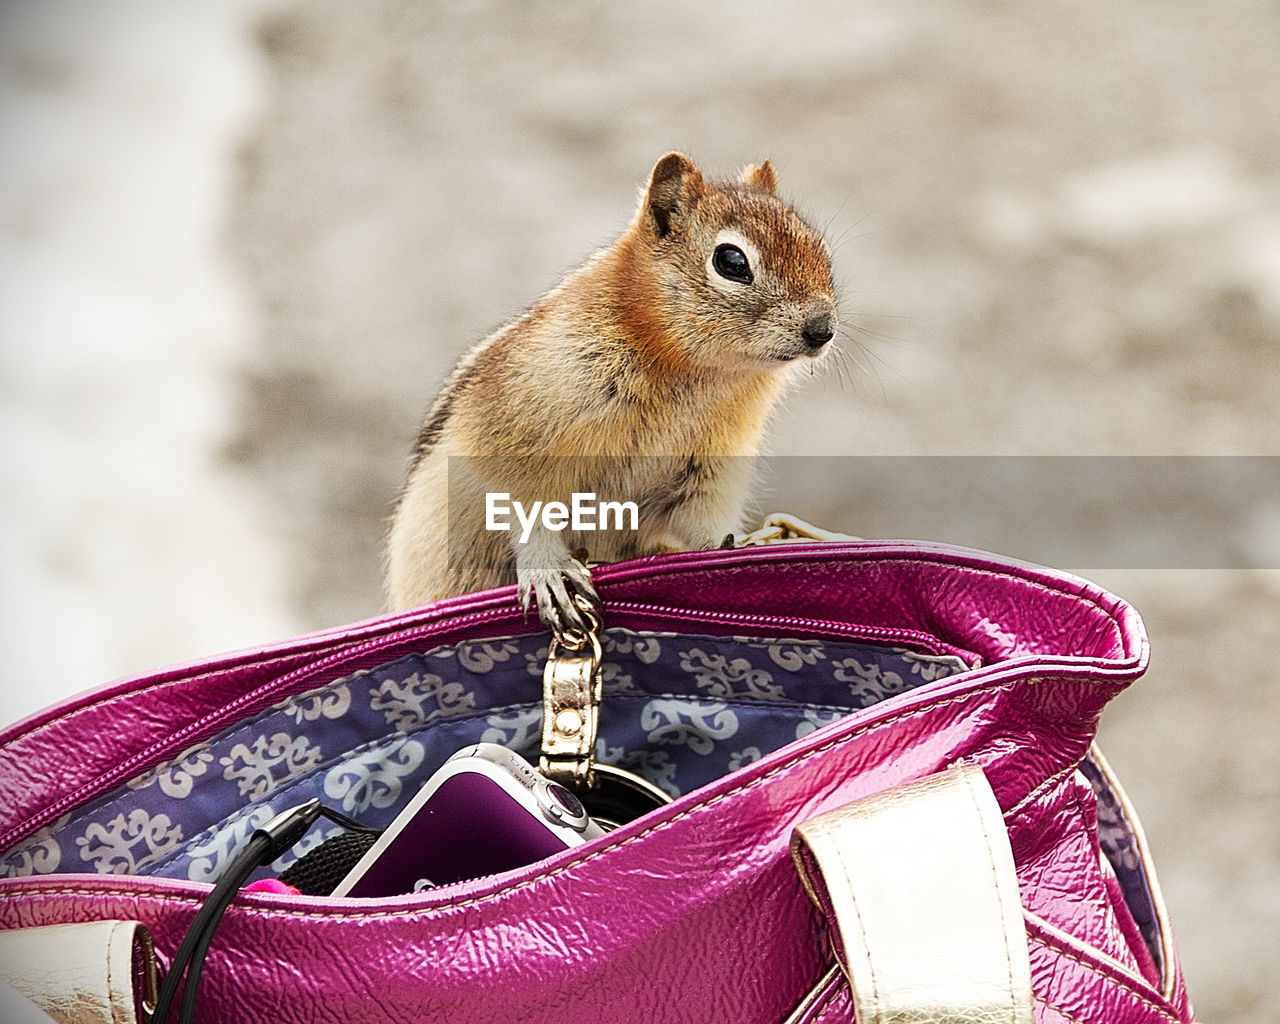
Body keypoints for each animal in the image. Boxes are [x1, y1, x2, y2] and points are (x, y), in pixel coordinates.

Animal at [384, 152, 834, 632]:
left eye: (821, 249)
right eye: (731, 261)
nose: (822, 330)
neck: (700, 372)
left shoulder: (710, 468)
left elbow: (699, 521)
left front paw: (732, 546)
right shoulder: (510, 433)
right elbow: (520, 505)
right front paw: (548, 569)